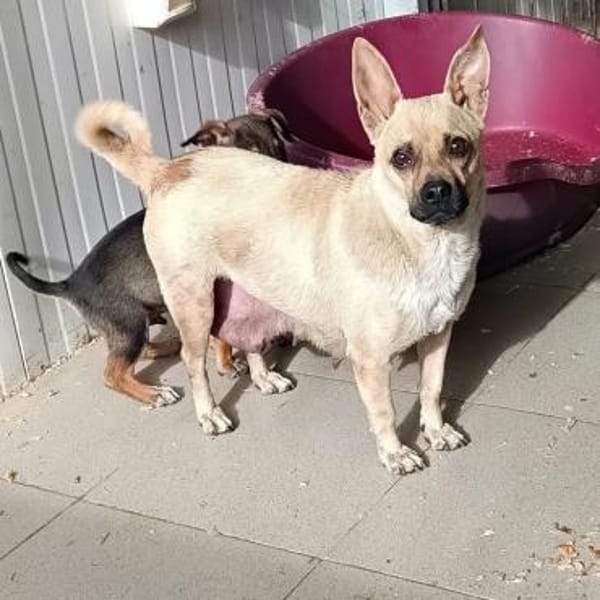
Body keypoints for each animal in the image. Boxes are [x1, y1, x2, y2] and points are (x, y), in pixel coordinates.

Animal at [6, 110, 293, 407]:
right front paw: (228, 363)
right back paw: (154, 392)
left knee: (135, 353)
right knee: (113, 372)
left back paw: (169, 348)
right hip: (129, 323)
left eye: (280, 149)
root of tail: (70, 283)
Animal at [76, 26, 490, 474]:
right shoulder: (370, 358)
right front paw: (395, 452)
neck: (422, 243)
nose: (437, 193)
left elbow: (432, 389)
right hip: (194, 306)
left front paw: (436, 431)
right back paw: (209, 413)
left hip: (242, 293)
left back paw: (262, 377)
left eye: (458, 147)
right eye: (401, 158)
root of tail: (169, 168)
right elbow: (384, 412)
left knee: (247, 340)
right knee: (192, 360)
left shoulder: (439, 336)